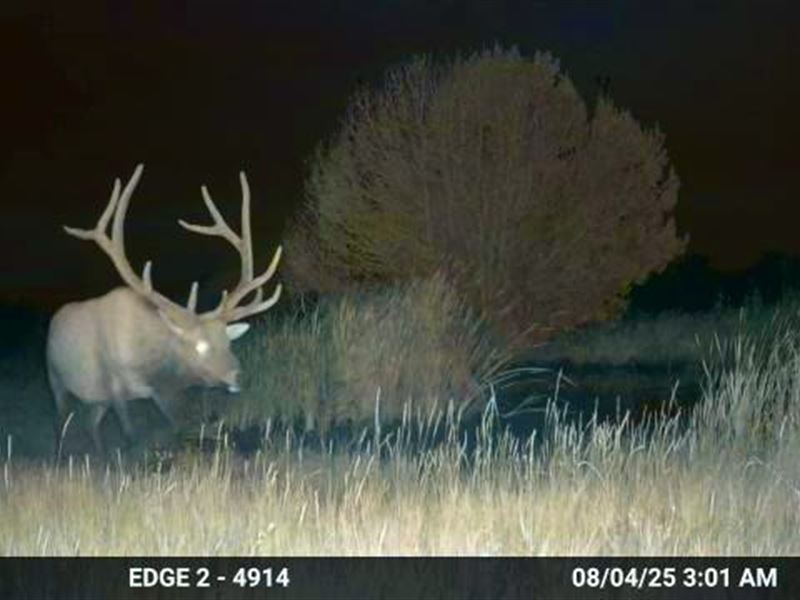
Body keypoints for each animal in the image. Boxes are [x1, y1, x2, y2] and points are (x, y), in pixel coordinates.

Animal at [46, 164, 282, 453]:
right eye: (200, 346)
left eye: (228, 342)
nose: (238, 377)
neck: (151, 366)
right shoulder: (115, 387)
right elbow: (131, 435)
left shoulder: (162, 391)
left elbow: (181, 426)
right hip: (56, 379)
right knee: (61, 422)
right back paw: (60, 455)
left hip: (97, 399)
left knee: (91, 424)